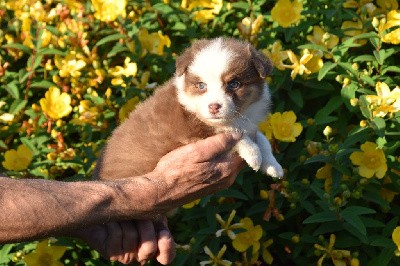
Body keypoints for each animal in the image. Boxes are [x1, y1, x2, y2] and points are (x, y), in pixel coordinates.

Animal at [94, 37, 282, 182]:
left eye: (234, 84)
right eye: (201, 85)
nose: (214, 107)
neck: (236, 116)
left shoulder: (249, 124)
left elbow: (262, 139)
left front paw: (274, 166)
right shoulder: (191, 131)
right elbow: (229, 132)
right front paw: (254, 155)